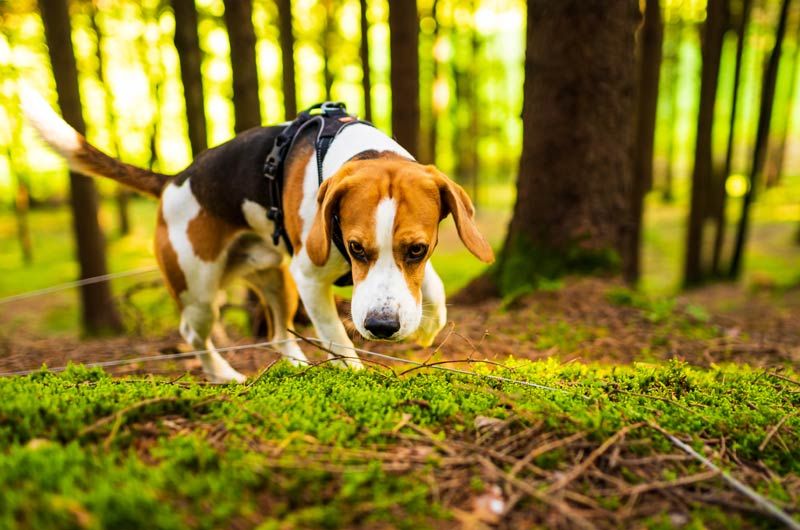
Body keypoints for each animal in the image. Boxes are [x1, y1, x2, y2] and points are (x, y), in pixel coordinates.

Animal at [23, 94, 494, 380]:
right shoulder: (310, 277)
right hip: (200, 291)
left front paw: (428, 323)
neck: (359, 152)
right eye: (355, 248)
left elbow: (433, 289)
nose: (381, 327)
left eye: (417, 249)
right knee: (192, 333)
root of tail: (173, 180)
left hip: (276, 278)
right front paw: (355, 372)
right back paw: (223, 375)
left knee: (278, 335)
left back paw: (295, 365)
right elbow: (337, 338)